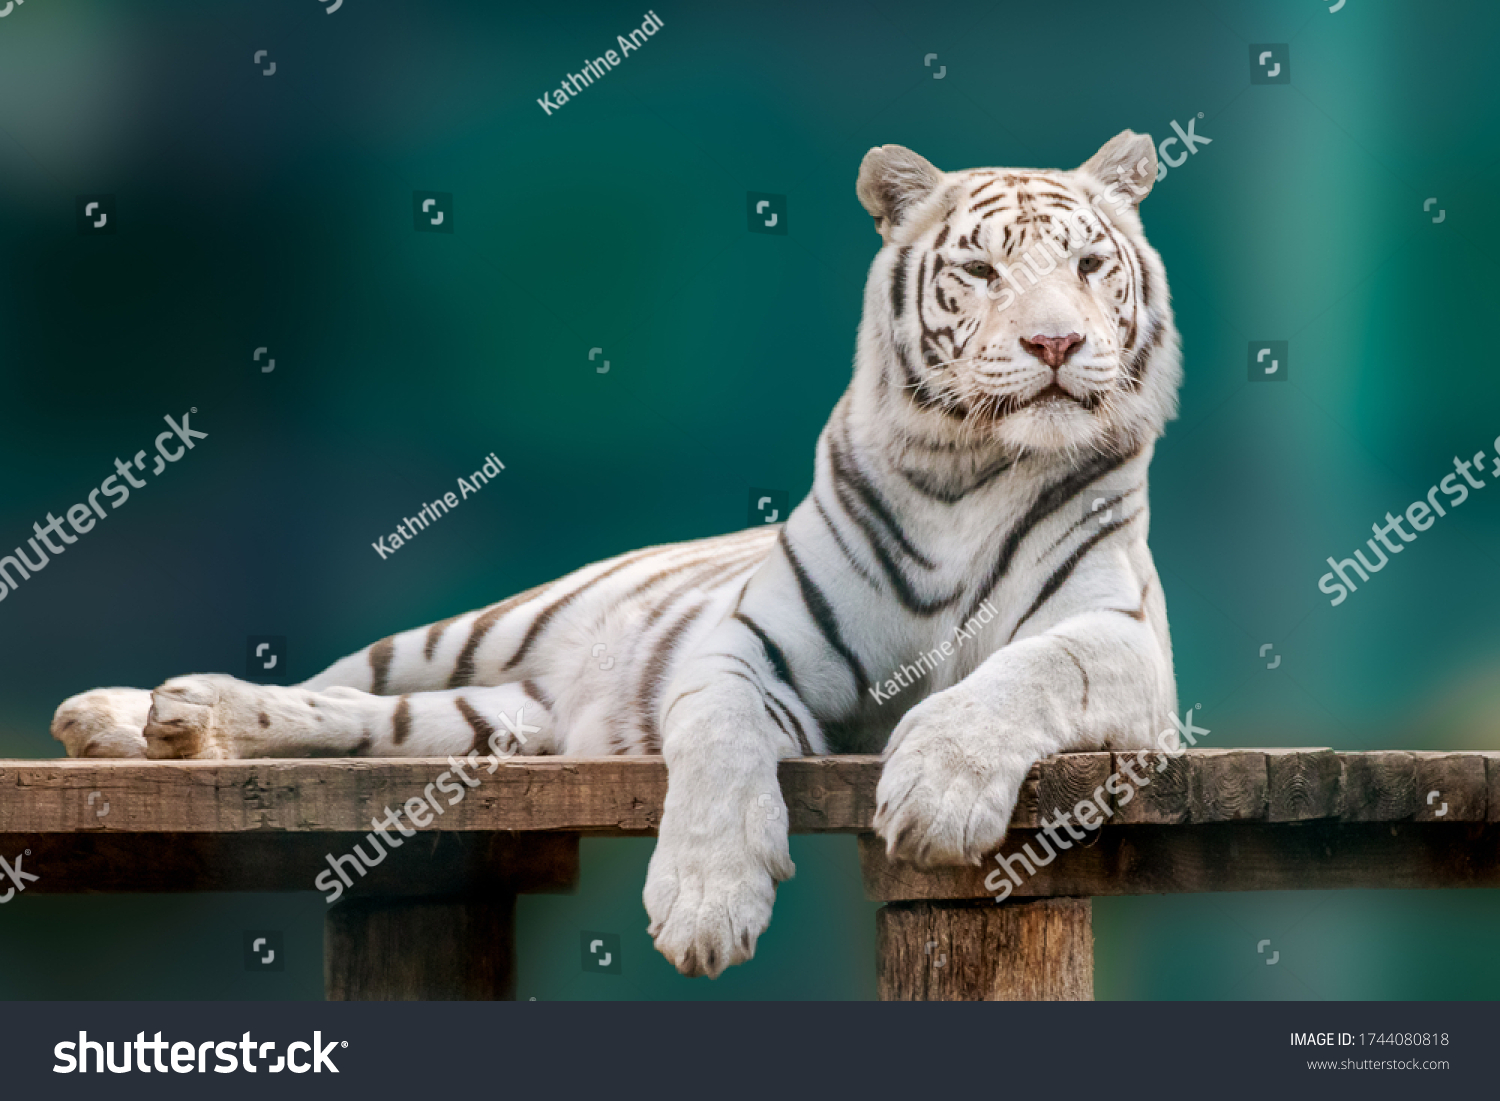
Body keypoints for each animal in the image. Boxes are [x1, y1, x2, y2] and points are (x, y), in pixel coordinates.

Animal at [51, 130, 1181, 979]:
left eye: (1088, 266)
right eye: (981, 270)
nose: (1054, 345)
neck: (970, 471)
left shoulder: (1122, 643)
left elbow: (1022, 673)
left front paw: (941, 793)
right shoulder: (744, 649)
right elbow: (719, 741)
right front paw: (705, 904)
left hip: (488, 721)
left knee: (357, 723)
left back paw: (176, 723)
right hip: (470, 636)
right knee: (328, 683)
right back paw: (132, 713)